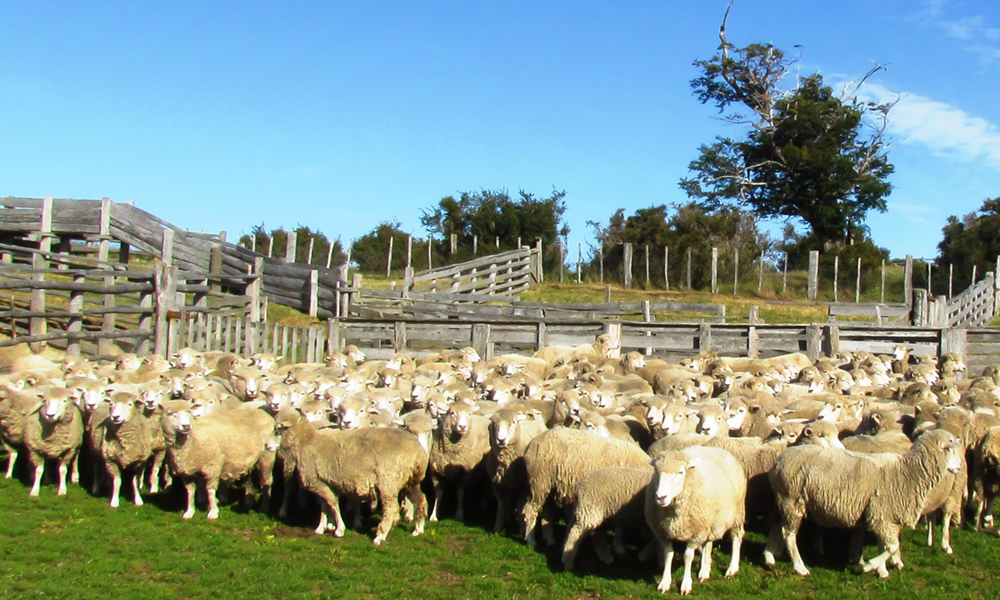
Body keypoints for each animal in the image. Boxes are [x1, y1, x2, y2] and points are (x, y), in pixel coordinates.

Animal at [273, 410, 427, 545]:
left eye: (278, 430)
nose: (269, 446)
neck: (306, 442)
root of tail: (418, 451)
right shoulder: (323, 482)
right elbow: (325, 506)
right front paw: (321, 528)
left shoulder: (316, 481)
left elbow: (333, 504)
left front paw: (339, 530)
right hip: (411, 481)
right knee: (421, 500)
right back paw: (418, 529)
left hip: (388, 482)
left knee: (392, 508)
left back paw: (380, 536)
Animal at [521, 427, 652, 547]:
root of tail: (533, 442)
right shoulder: (619, 497)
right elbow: (619, 526)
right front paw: (618, 546)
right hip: (539, 481)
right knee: (531, 509)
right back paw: (530, 540)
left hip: (550, 486)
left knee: (547, 511)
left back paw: (549, 539)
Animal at [645, 446, 747, 595]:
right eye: (657, 472)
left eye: (680, 472)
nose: (660, 497)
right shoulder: (662, 532)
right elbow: (668, 555)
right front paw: (665, 583)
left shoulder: (696, 533)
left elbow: (688, 556)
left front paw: (686, 585)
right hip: (710, 521)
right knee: (708, 543)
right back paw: (704, 571)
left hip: (737, 514)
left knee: (736, 538)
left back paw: (732, 568)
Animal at [765, 429, 962, 578]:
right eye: (951, 449)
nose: (960, 466)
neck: (907, 472)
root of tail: (780, 459)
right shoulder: (881, 515)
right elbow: (892, 547)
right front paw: (868, 565)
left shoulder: (884, 516)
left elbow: (886, 546)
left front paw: (882, 570)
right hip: (792, 502)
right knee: (789, 534)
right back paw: (800, 567)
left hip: (784, 502)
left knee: (776, 525)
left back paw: (770, 556)